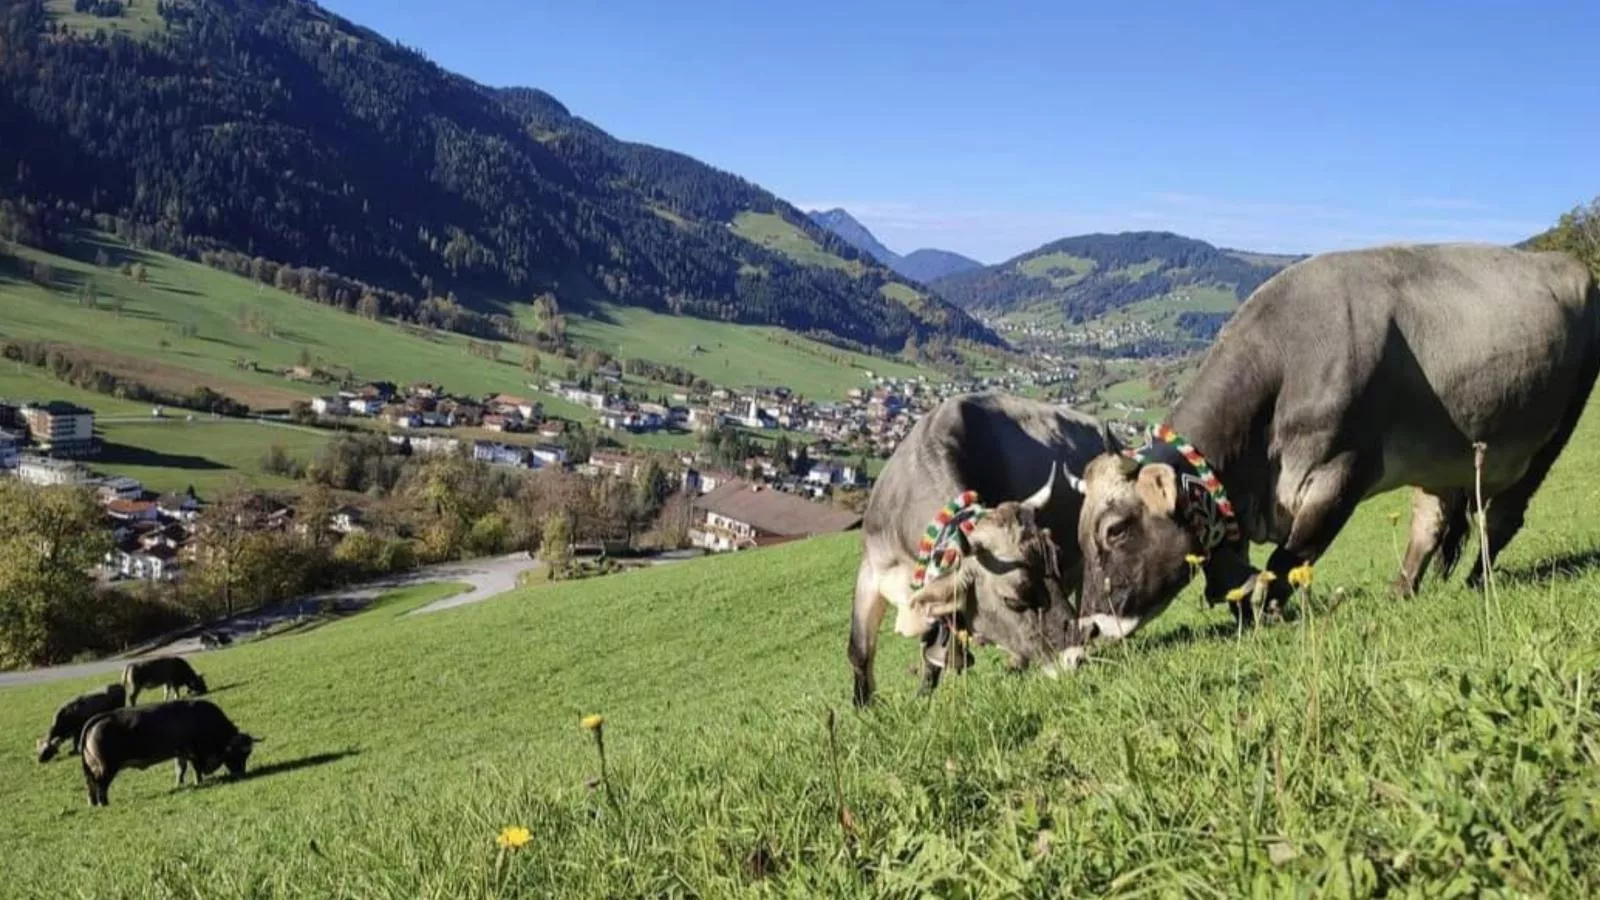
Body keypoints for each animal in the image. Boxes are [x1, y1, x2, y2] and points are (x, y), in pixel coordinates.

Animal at [77, 698, 257, 800]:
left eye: (248, 754)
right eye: (237, 753)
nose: (242, 773)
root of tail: (102, 717)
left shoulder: (181, 752)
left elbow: (180, 769)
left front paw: (180, 783)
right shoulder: (195, 752)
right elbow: (196, 769)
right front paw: (198, 781)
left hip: (93, 768)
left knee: (90, 784)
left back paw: (93, 803)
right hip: (106, 768)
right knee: (100, 784)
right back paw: (103, 803)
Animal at [851, 389, 1113, 704]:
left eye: (1055, 568)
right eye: (1013, 599)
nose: (1075, 658)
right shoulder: (871, 570)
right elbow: (860, 650)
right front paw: (867, 707)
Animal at [1062, 245, 1600, 650]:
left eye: (1115, 530)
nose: (1089, 628)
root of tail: (1570, 263)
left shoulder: (1341, 475)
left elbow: (1288, 559)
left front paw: (1271, 614)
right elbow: (1232, 568)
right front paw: (1245, 613)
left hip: (1555, 431)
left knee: (1500, 518)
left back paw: (1477, 583)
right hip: (1442, 456)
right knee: (1432, 520)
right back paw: (1400, 591)